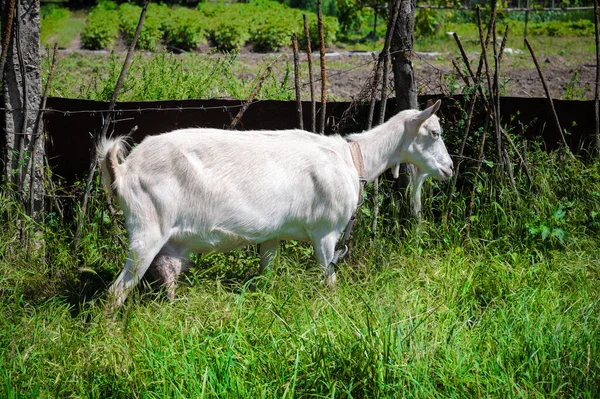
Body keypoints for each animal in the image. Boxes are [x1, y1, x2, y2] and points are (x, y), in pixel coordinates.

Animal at [99, 100, 454, 310]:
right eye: (435, 132)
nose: (450, 169)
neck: (353, 159)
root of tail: (124, 168)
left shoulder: (271, 235)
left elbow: (267, 273)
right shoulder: (326, 233)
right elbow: (329, 279)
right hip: (147, 228)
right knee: (116, 291)